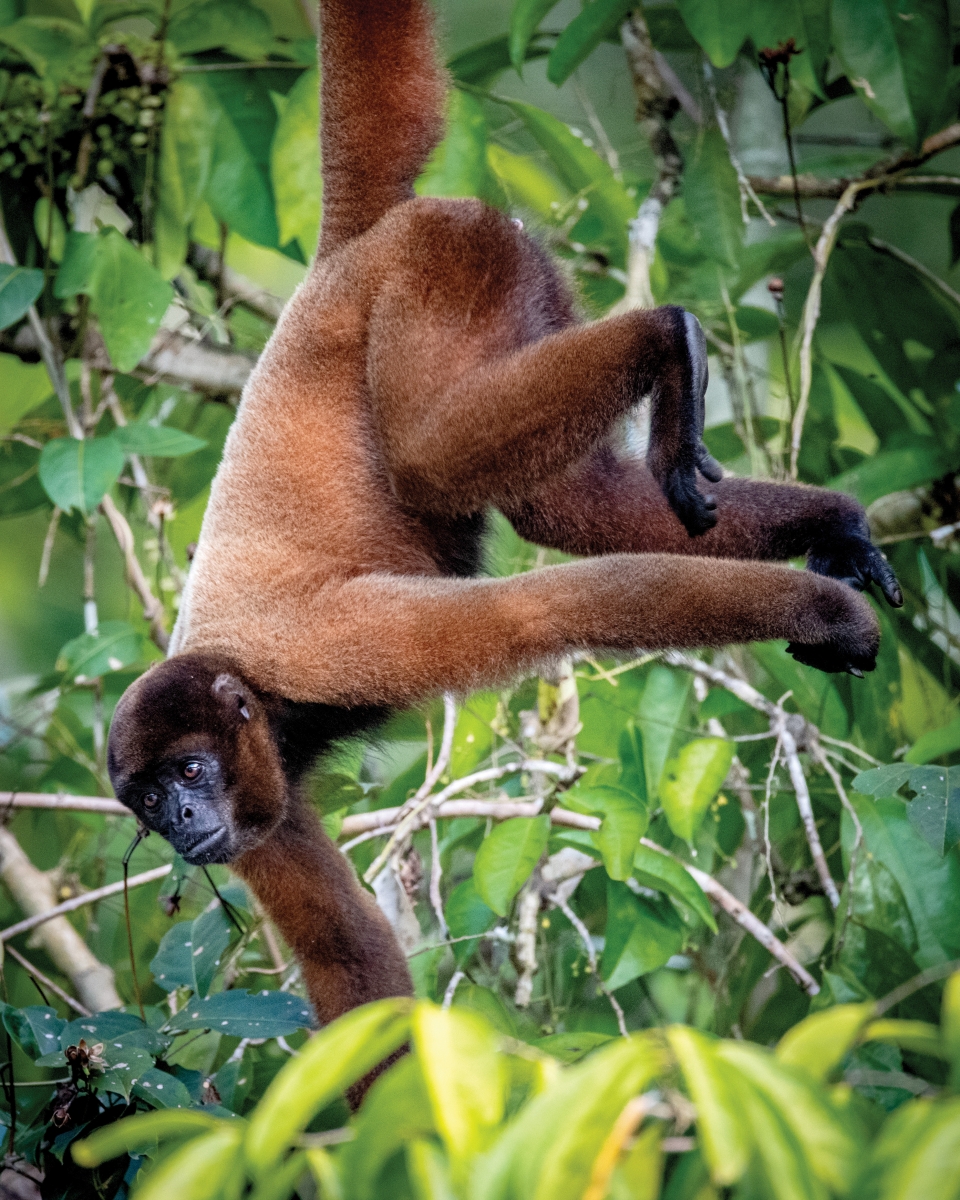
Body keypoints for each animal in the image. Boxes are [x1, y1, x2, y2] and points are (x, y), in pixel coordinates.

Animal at [107, 0, 901, 1070]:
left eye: (189, 772)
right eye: (151, 800)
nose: (185, 818)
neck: (258, 695)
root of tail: (343, 258)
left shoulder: (332, 646)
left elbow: (547, 611)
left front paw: (824, 616)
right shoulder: (259, 813)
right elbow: (347, 954)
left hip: (450, 258)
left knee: (436, 459)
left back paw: (664, 339)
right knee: (567, 501)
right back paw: (821, 511)